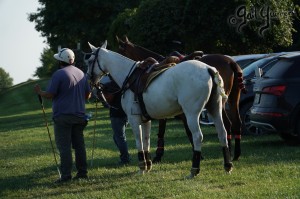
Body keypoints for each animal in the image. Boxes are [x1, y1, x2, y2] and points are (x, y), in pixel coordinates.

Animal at [85, 41, 233, 178]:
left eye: (90, 61)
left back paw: (194, 170)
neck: (129, 78)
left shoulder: (134, 120)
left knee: (197, 136)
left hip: (192, 114)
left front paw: (142, 168)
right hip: (215, 109)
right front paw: (148, 166)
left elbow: (139, 142)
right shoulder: (146, 120)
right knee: (222, 132)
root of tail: (209, 69)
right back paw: (228, 165)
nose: (89, 80)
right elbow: (146, 141)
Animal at [116, 35, 245, 162]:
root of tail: (231, 62)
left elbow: (176, 131)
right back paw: (236, 154)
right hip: (233, 99)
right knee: (236, 122)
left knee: (227, 124)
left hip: (220, 103)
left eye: (119, 51)